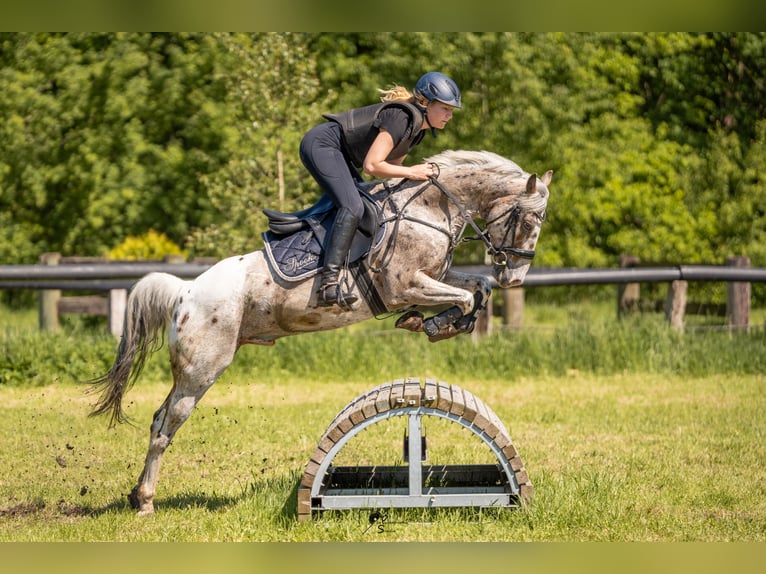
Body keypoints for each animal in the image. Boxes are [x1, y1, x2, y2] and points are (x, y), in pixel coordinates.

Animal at [90, 150, 552, 516]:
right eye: (529, 218)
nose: (515, 277)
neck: (431, 208)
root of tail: (185, 292)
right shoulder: (405, 285)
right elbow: (466, 296)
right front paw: (433, 323)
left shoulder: (434, 276)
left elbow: (477, 288)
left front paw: (439, 321)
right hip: (201, 370)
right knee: (164, 427)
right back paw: (146, 502)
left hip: (191, 371)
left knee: (158, 418)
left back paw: (136, 495)